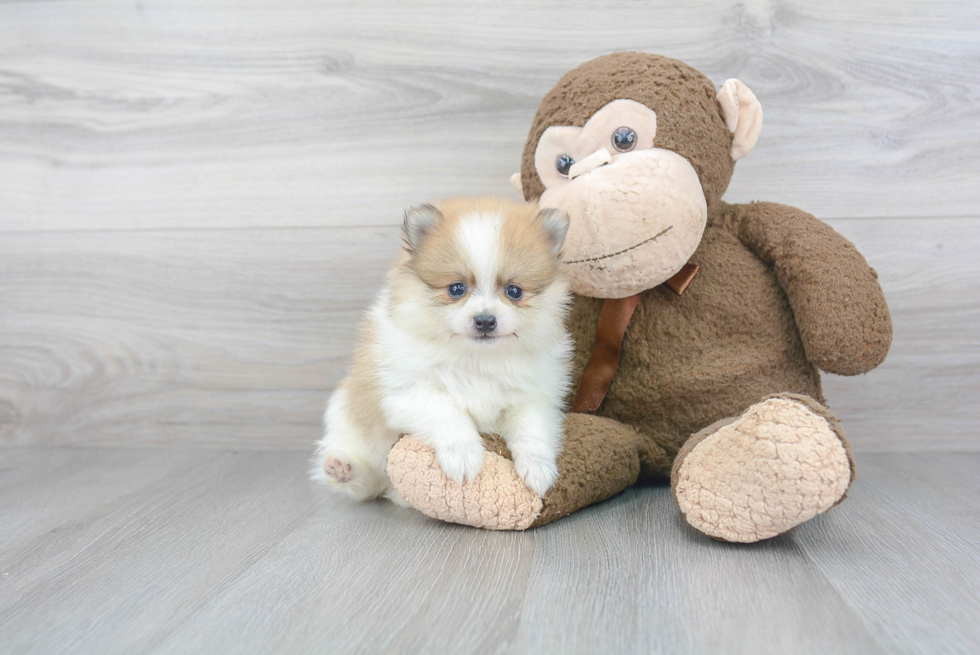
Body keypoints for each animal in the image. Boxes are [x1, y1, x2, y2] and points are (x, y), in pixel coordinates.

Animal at [314, 197, 576, 504]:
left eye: (514, 291)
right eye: (456, 289)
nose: (485, 320)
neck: (476, 359)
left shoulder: (532, 398)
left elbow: (531, 431)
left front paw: (538, 470)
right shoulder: (407, 392)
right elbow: (448, 414)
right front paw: (463, 457)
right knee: (369, 482)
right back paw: (344, 469)